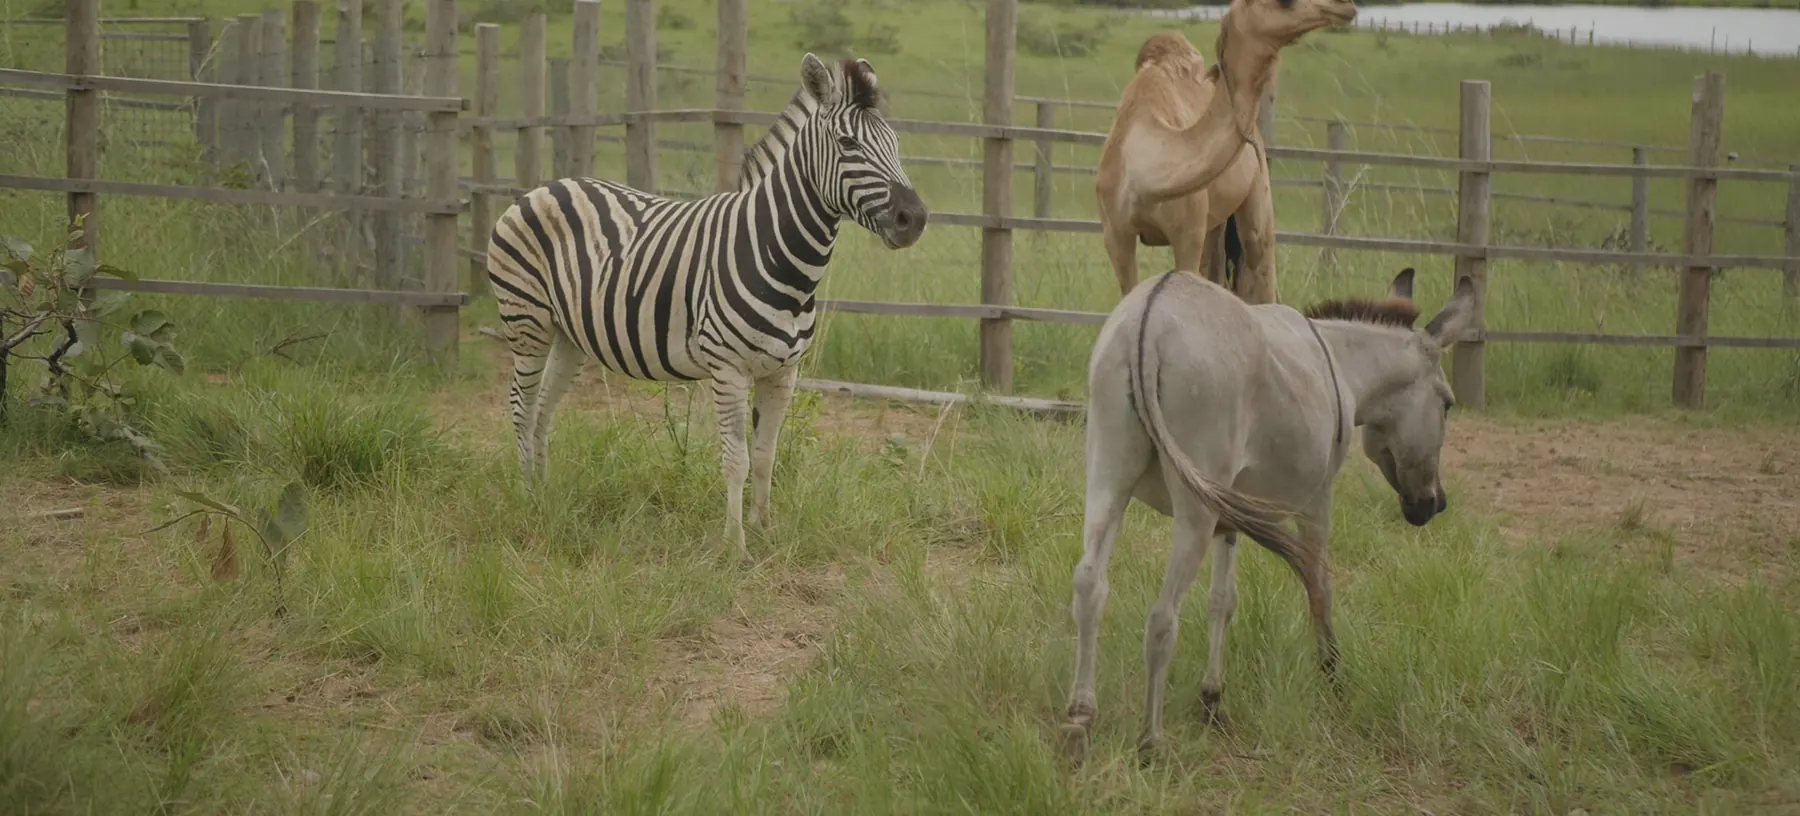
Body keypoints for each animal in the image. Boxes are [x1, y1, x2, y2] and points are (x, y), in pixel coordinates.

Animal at [485, 53, 928, 565]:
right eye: (848, 143)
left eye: (896, 144)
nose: (915, 219)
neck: (780, 257)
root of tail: (544, 187)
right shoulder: (729, 368)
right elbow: (736, 459)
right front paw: (735, 548)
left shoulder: (784, 373)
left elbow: (766, 456)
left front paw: (766, 530)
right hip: (527, 322)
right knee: (521, 406)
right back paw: (527, 500)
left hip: (569, 336)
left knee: (543, 410)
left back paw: (546, 494)